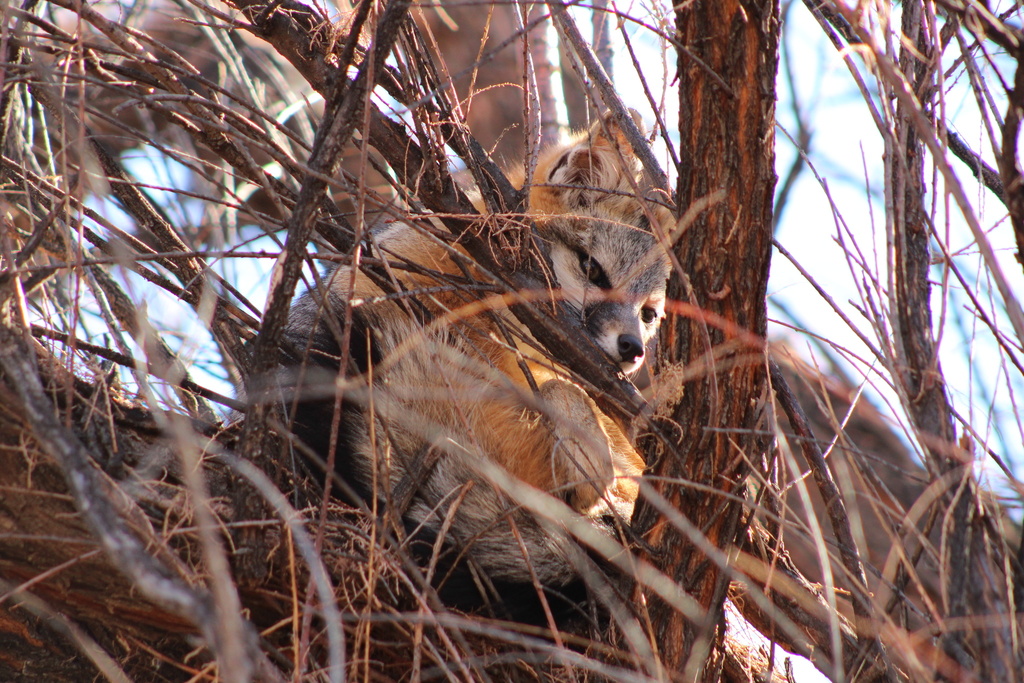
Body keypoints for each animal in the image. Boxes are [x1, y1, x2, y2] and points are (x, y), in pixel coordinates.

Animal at [277, 112, 672, 621]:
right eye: (593, 270)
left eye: (649, 314)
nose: (632, 349)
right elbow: (564, 392)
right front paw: (585, 461)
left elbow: (565, 394)